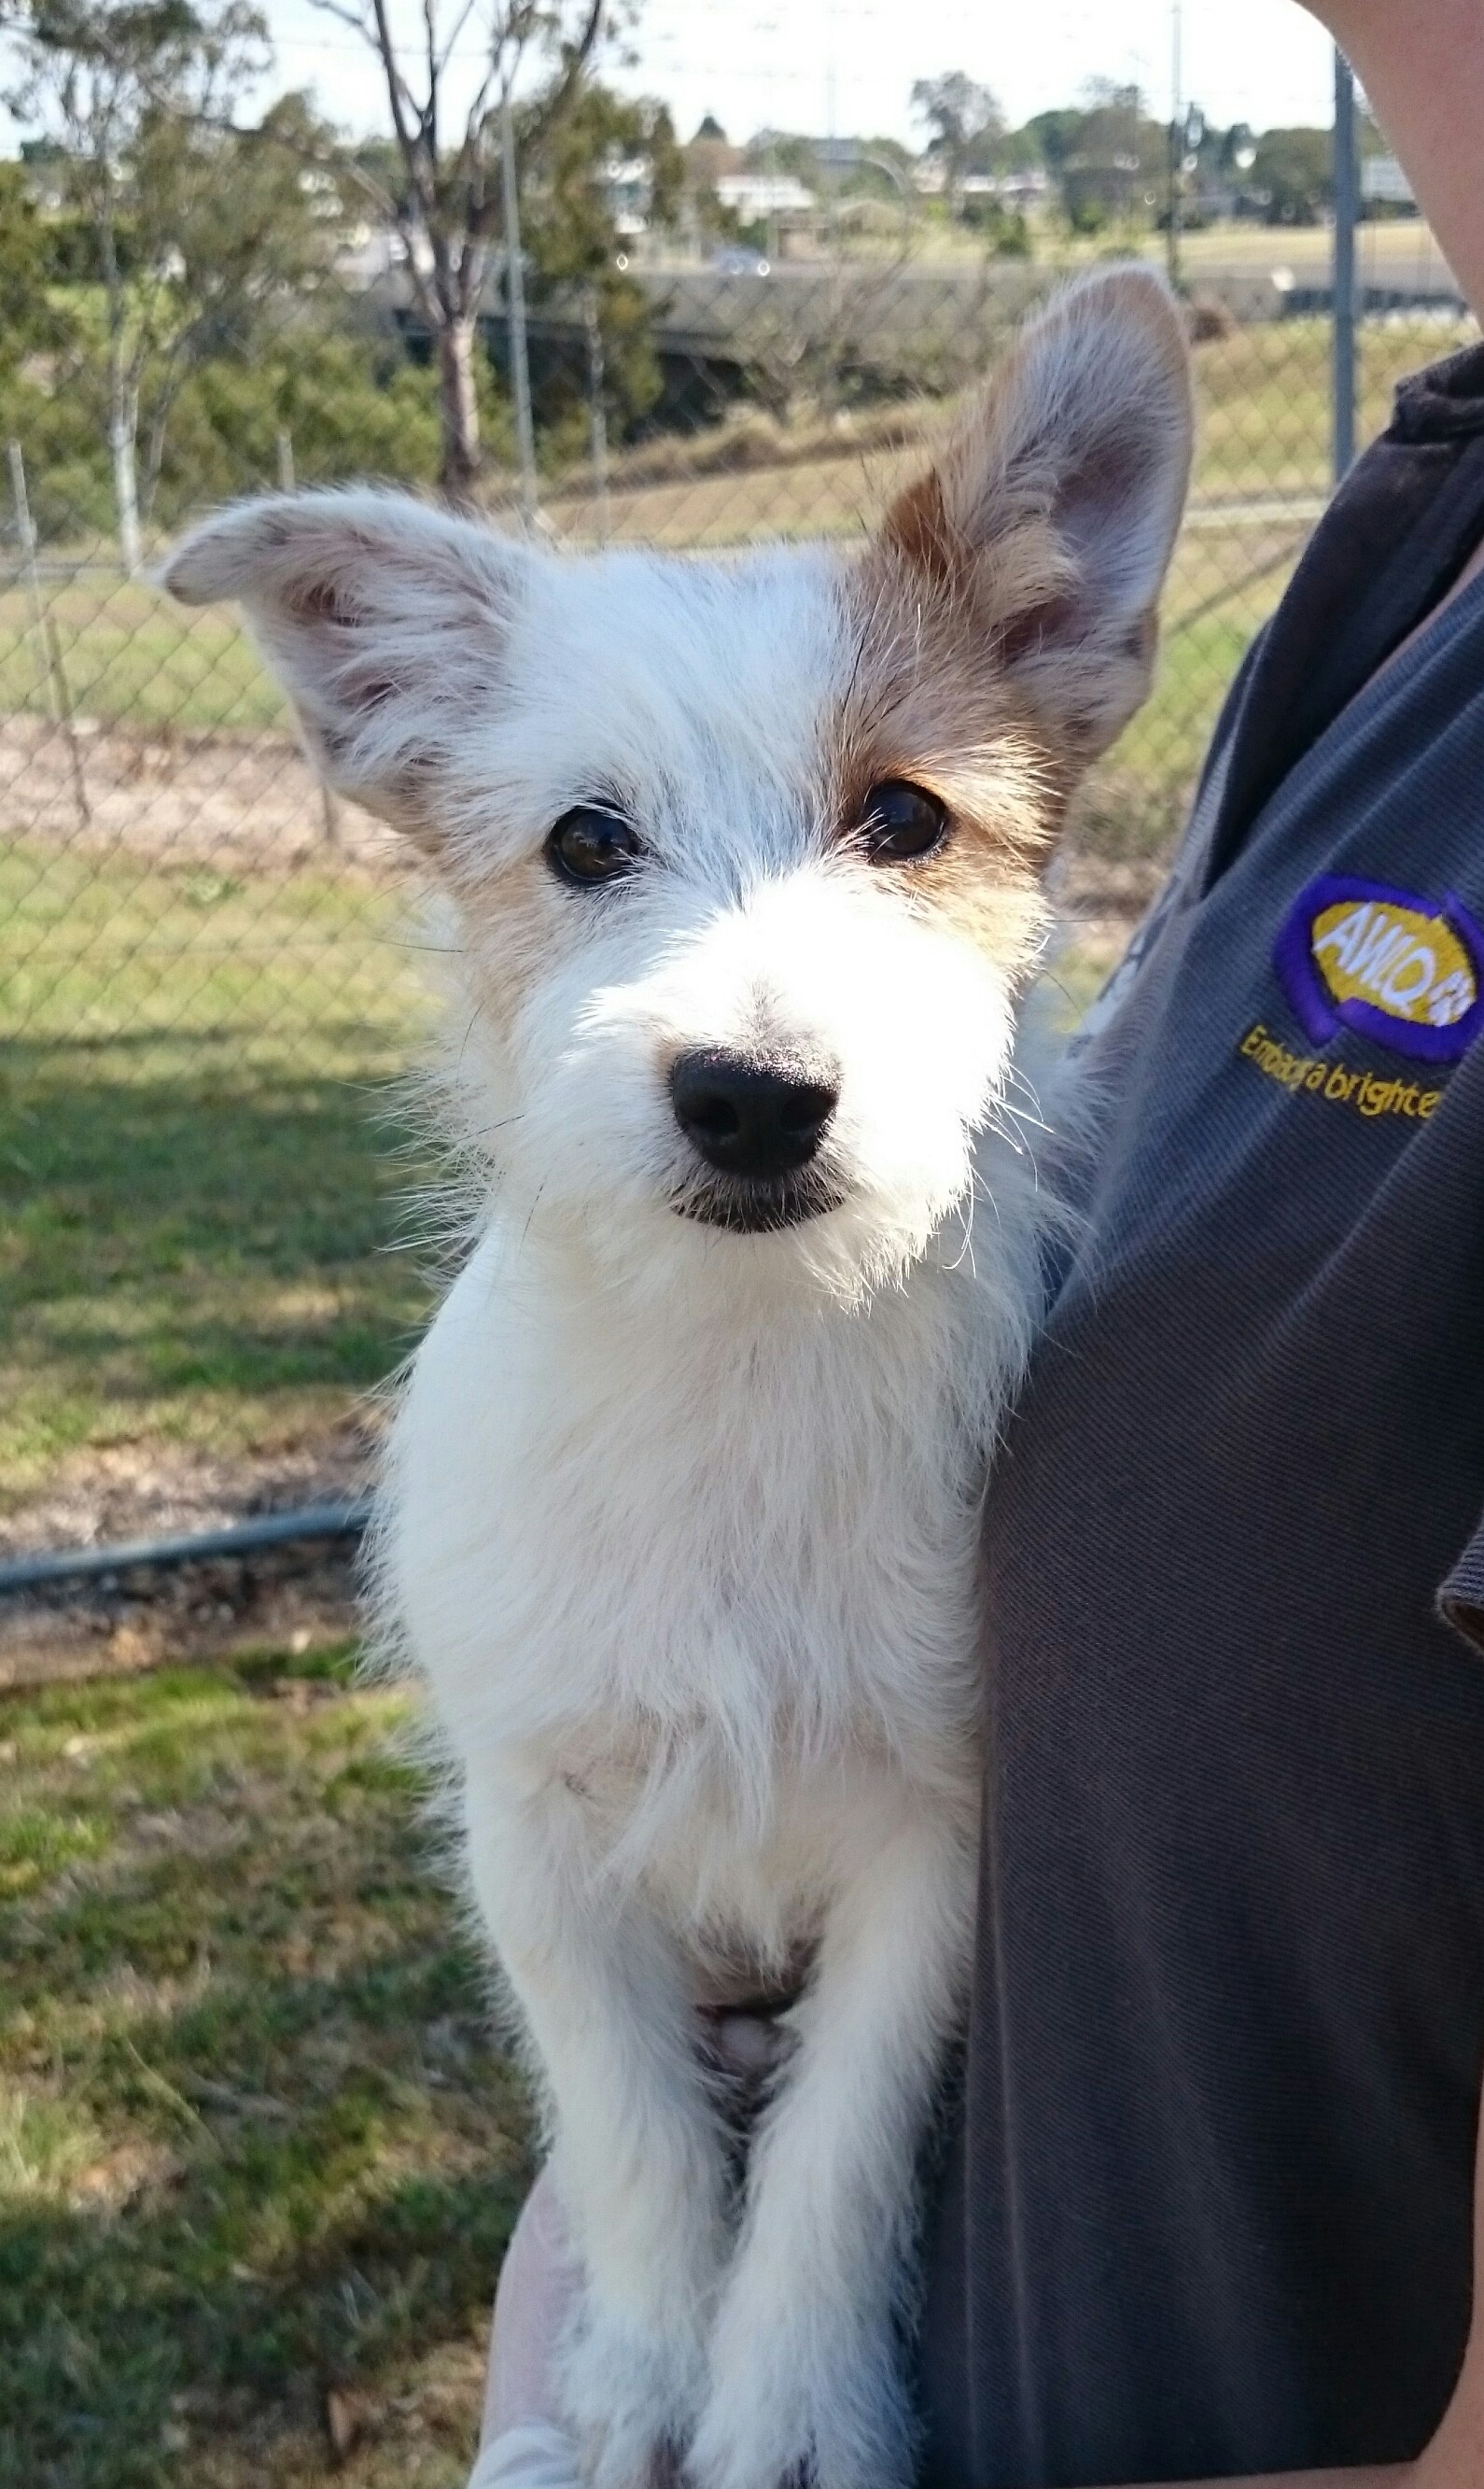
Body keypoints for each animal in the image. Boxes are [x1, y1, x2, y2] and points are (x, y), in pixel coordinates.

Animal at [164, 264, 1192, 2489]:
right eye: (583, 839)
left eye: (904, 817)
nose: (750, 1095)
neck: (737, 1362)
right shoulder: (539, 1834)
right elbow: (635, 2136)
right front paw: (635, 2373)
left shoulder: (920, 1849)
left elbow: (827, 2156)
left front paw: (787, 2404)